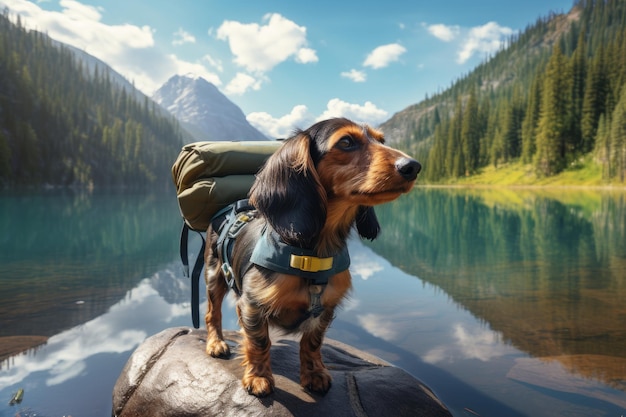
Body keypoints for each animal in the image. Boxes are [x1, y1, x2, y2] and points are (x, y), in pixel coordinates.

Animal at [205, 117, 420, 396]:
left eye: (382, 140)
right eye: (346, 142)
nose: (413, 166)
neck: (310, 253)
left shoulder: (325, 307)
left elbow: (312, 342)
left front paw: (314, 374)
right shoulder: (252, 303)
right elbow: (259, 341)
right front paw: (258, 377)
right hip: (214, 275)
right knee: (213, 313)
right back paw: (215, 343)